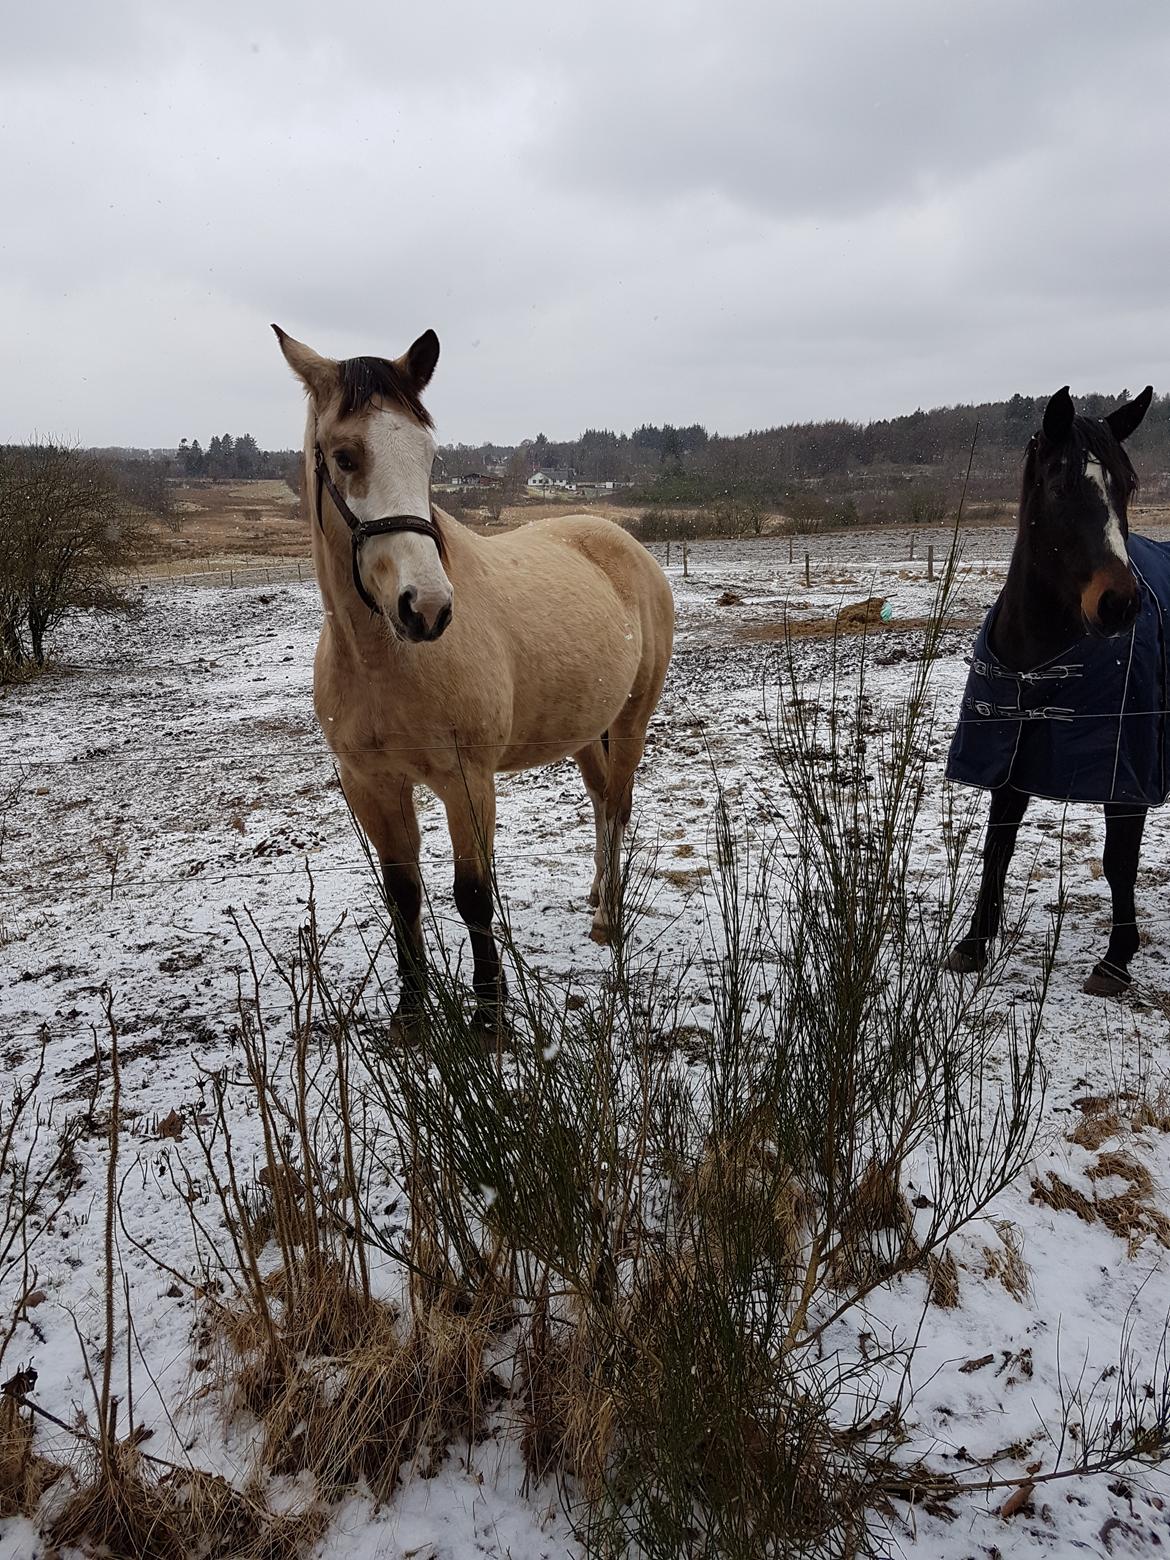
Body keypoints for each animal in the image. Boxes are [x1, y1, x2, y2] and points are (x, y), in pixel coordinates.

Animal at [274, 324, 673, 1029]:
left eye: (429, 455)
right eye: (345, 456)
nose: (427, 607)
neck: (385, 660)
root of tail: (628, 547)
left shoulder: (468, 781)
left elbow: (472, 895)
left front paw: (489, 1014)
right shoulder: (371, 784)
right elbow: (402, 894)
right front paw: (411, 1013)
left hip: (630, 721)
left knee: (620, 807)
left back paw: (609, 917)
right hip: (583, 731)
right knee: (601, 801)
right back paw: (598, 893)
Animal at [948, 386, 1160, 998]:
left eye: (1127, 483)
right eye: (1063, 485)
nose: (1120, 604)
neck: (1037, 659)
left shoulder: (1125, 772)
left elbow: (1119, 861)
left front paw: (1116, 959)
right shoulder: (1009, 754)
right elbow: (998, 845)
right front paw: (974, 943)